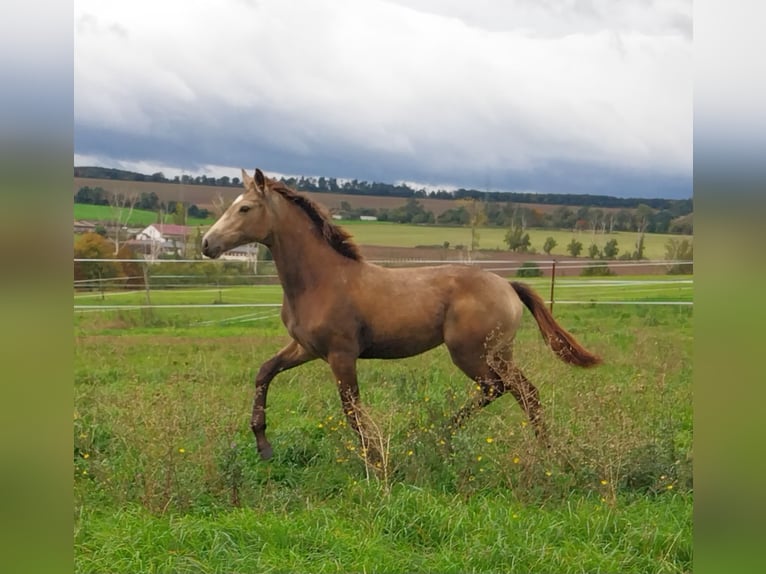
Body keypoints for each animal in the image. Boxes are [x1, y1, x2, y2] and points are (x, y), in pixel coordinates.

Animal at [201, 170, 604, 464]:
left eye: (245, 208)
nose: (207, 244)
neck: (321, 279)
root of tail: (507, 284)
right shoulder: (306, 348)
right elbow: (265, 371)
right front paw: (264, 446)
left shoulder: (341, 355)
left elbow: (351, 409)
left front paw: (376, 459)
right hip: (499, 353)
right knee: (525, 392)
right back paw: (541, 450)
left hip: (472, 353)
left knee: (500, 388)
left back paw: (444, 437)